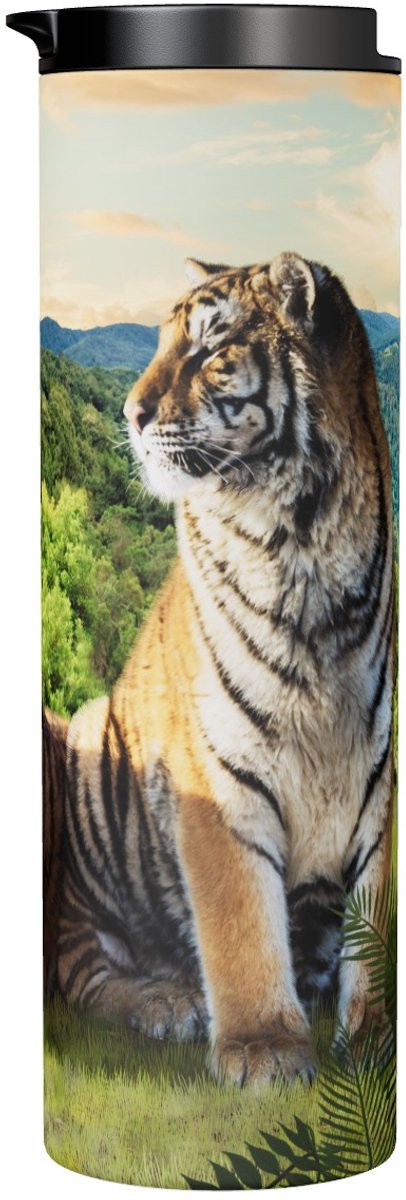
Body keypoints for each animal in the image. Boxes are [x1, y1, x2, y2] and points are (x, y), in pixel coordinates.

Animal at [51, 251, 394, 1088]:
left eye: (209, 349)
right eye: (162, 340)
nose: (132, 416)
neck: (304, 546)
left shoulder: (381, 778)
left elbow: (373, 926)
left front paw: (370, 1046)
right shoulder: (218, 774)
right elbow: (240, 916)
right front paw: (265, 1050)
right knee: (80, 965)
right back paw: (167, 1002)